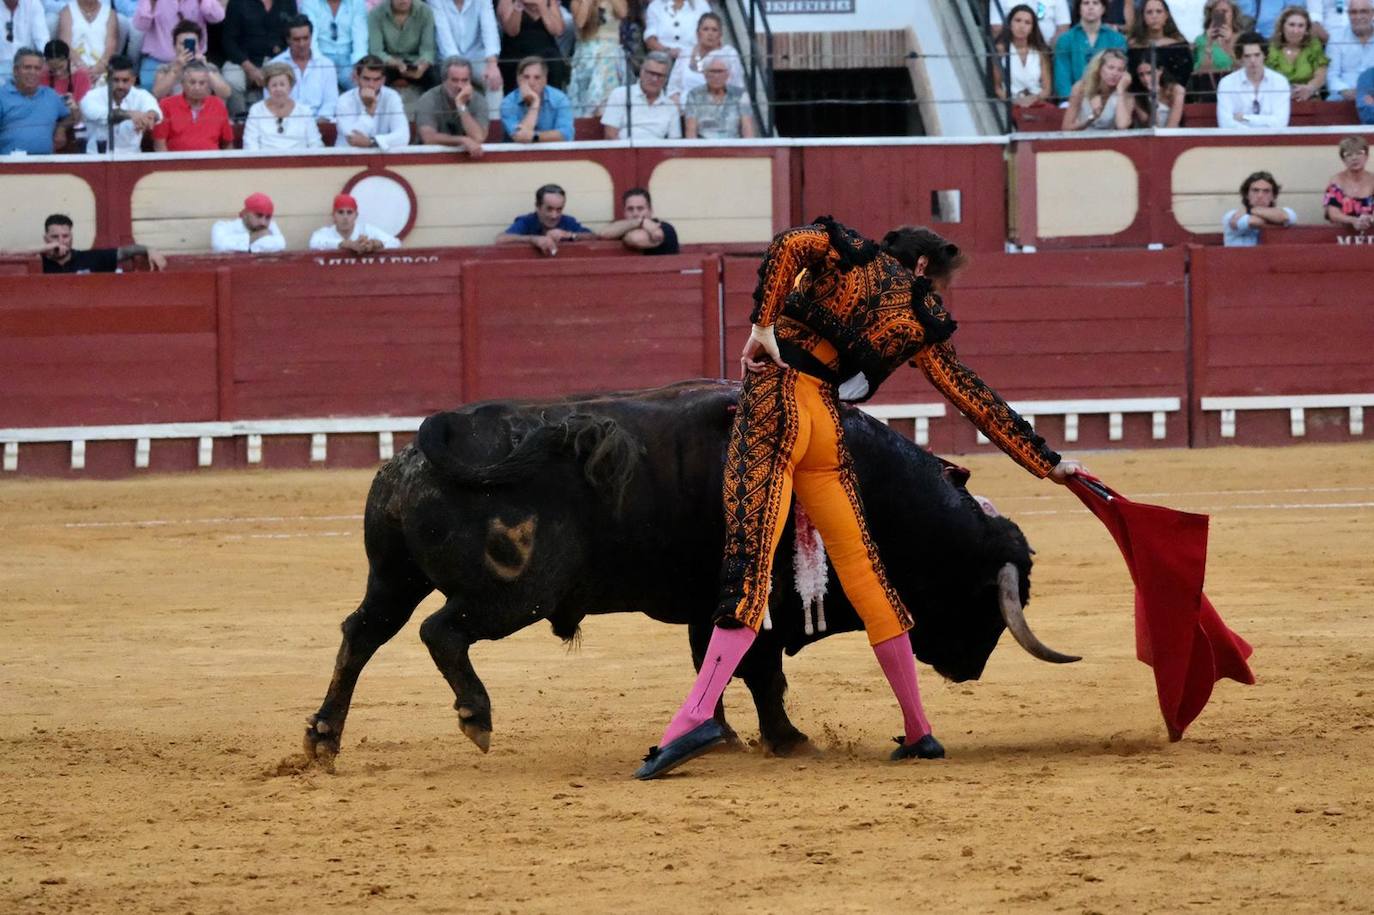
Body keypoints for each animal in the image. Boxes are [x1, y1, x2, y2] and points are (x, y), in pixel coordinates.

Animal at [306, 376, 1077, 763]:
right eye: (983, 597)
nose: (971, 669)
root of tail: (428, 447)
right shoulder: (761, 606)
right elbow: (763, 672)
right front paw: (785, 739)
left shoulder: (709, 606)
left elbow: (717, 663)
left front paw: (720, 733)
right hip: (515, 591)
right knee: (440, 632)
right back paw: (476, 715)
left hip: (394, 575)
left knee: (361, 633)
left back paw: (322, 738)